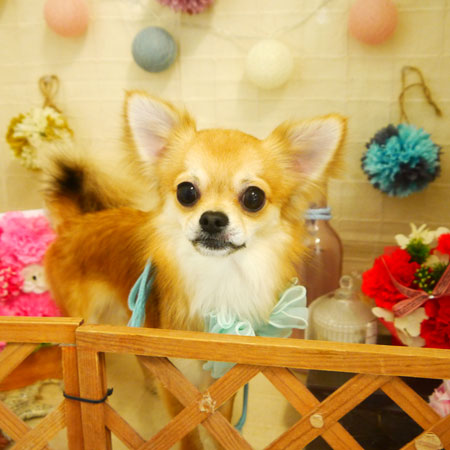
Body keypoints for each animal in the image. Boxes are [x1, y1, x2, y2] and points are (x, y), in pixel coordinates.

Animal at [43, 92, 346, 448]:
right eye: (186, 192)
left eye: (253, 197)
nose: (212, 218)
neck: (218, 275)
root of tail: (76, 223)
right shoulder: (177, 380)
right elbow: (189, 433)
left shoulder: (223, 374)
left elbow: (220, 425)